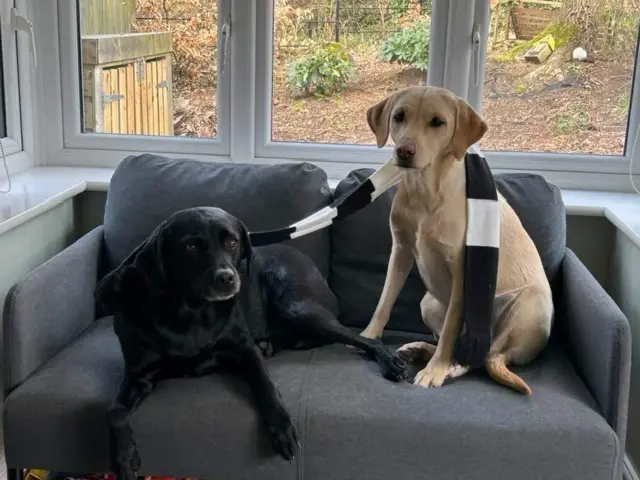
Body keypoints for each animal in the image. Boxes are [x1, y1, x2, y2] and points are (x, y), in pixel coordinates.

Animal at [93, 206, 408, 480]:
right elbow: (113, 413)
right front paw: (123, 457)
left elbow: (265, 385)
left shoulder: (244, 350)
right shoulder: (138, 376)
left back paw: (390, 361)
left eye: (232, 241)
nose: (227, 279)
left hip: (297, 305)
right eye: (191, 246)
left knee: (361, 339)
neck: (191, 312)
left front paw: (281, 426)